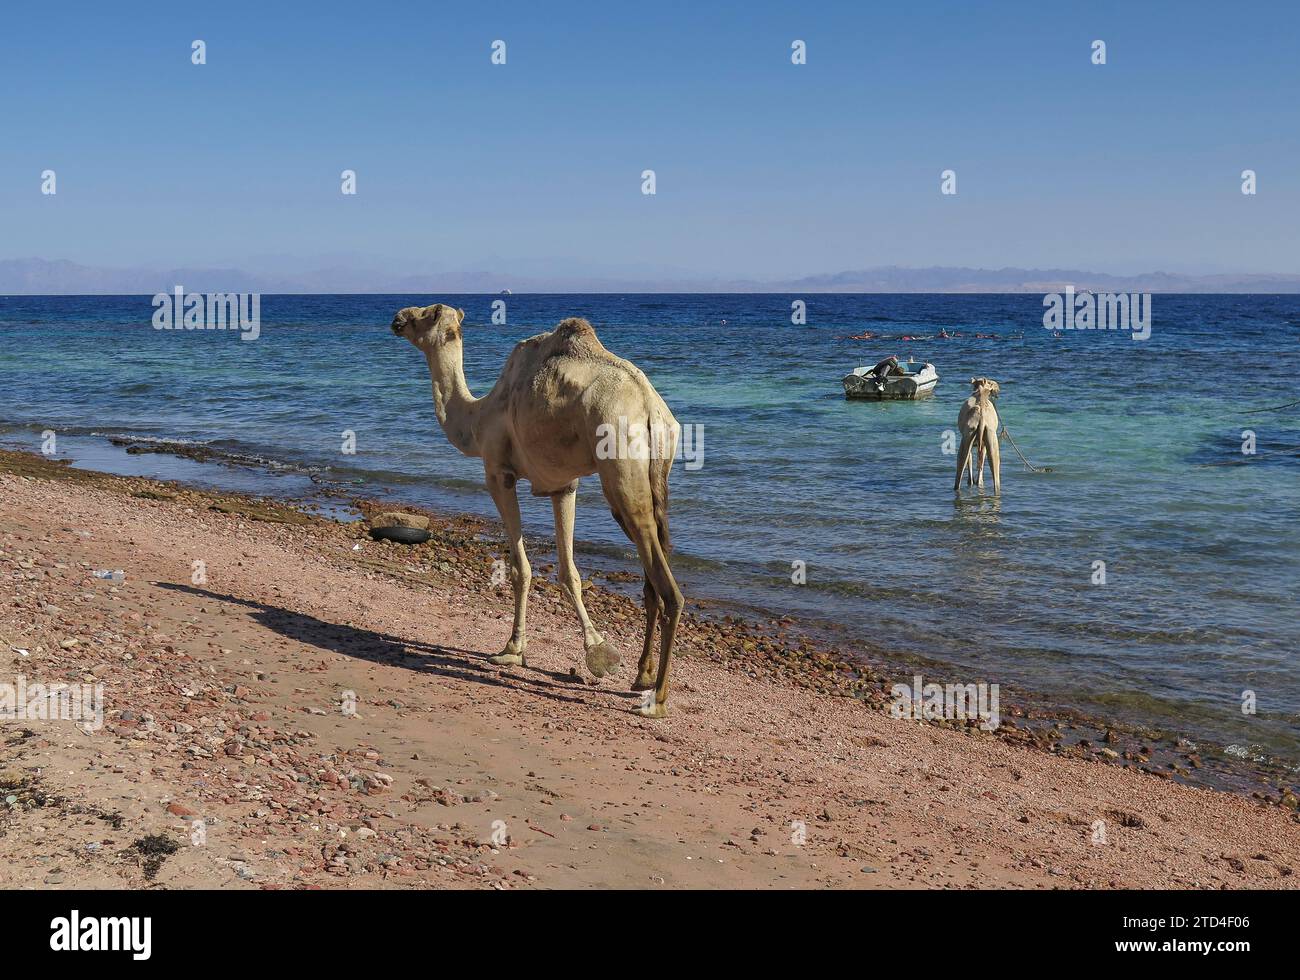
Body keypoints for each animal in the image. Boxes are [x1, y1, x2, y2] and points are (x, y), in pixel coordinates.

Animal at [390, 304, 686, 717]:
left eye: (426, 314)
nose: (398, 318)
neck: (479, 418)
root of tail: (651, 410)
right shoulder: (563, 486)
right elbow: (568, 571)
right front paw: (597, 649)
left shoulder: (499, 474)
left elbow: (521, 568)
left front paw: (512, 650)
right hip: (649, 482)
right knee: (652, 577)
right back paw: (641, 676)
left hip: (621, 471)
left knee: (667, 587)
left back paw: (656, 699)